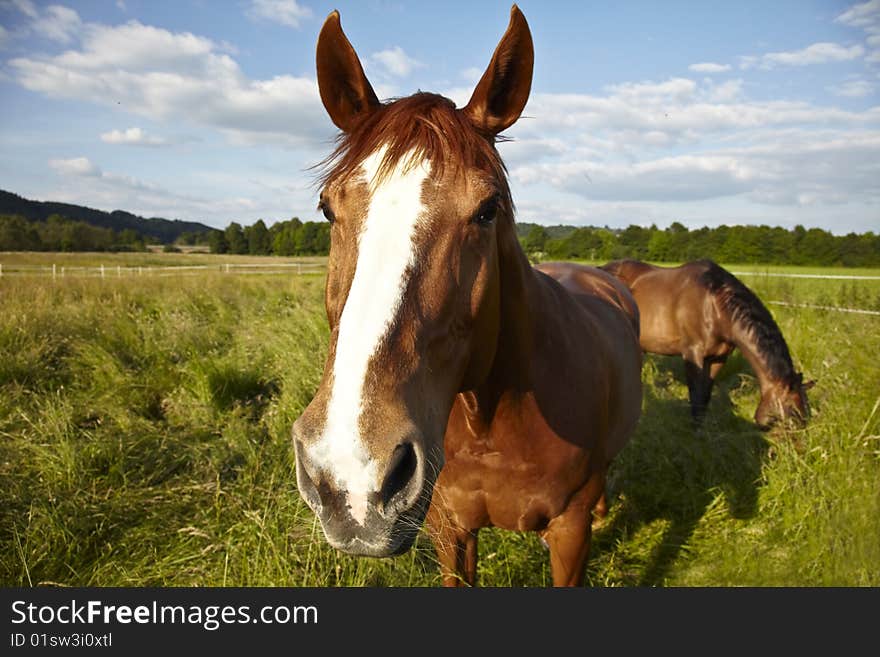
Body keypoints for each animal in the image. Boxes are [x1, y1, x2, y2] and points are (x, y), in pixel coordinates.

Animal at [292, 7, 644, 588]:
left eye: (487, 209)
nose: (352, 477)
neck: (493, 423)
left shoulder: (569, 537)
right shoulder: (450, 528)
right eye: (327, 208)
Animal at [600, 258, 812, 428]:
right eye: (792, 412)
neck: (714, 304)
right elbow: (696, 394)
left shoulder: (718, 358)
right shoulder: (692, 353)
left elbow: (706, 394)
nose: (795, 449)